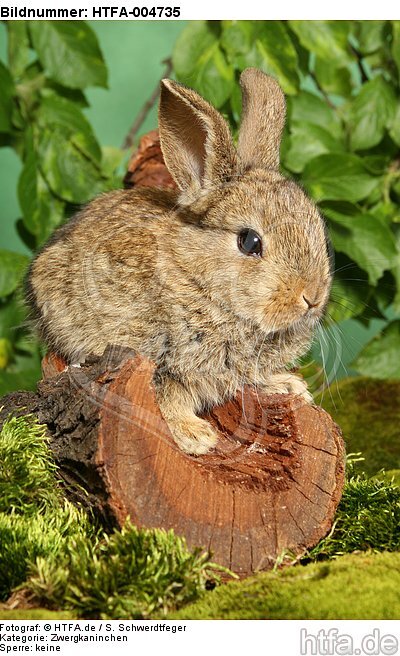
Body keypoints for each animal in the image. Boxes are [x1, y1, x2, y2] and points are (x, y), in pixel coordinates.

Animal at [24, 68, 332, 456]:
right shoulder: (153, 356)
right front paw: (195, 436)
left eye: (317, 227)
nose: (312, 297)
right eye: (250, 241)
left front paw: (289, 386)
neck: (201, 280)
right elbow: (166, 395)